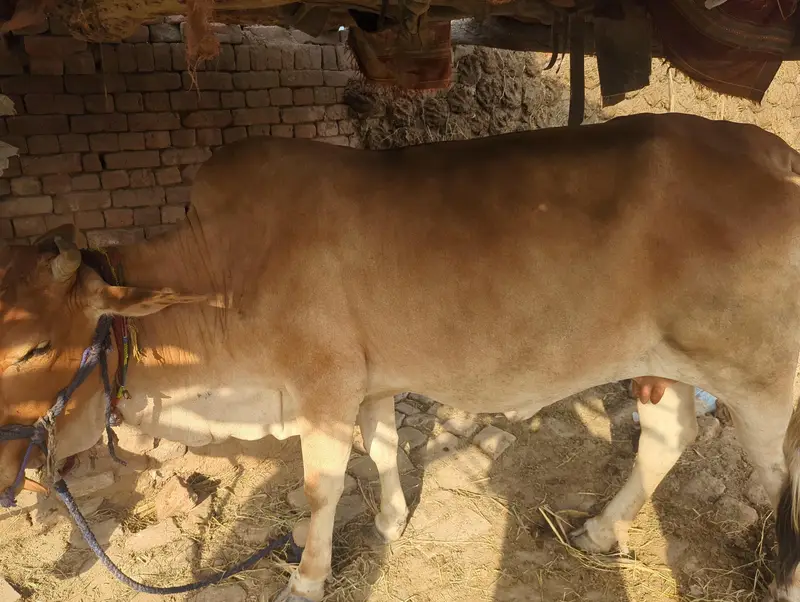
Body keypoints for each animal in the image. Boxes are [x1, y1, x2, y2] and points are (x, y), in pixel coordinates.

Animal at [1, 112, 800, 602]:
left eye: (34, 345)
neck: (226, 267)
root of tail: (773, 151)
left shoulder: (322, 386)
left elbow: (322, 486)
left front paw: (306, 577)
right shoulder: (369, 379)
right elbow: (382, 446)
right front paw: (388, 522)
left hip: (764, 384)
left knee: (780, 476)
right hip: (664, 363)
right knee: (668, 438)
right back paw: (599, 529)